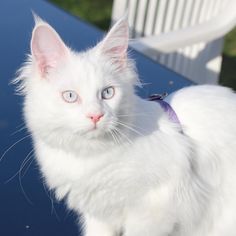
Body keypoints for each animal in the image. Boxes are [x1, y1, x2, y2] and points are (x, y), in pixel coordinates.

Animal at [14, 15, 236, 235]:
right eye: (70, 96)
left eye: (108, 93)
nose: (96, 116)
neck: (90, 157)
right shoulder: (99, 215)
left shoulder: (155, 210)